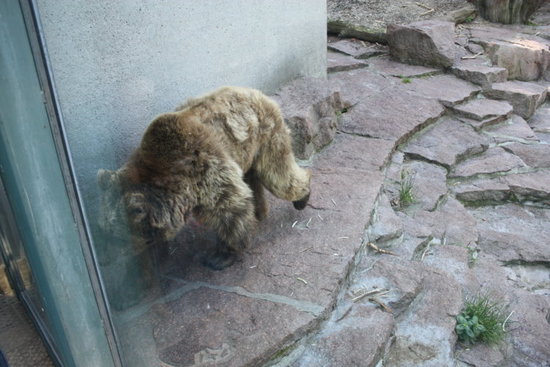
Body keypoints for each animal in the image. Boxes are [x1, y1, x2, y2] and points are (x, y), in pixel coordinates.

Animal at [99, 86, 312, 270]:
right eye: (103, 230)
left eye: (115, 236)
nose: (103, 261)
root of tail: (254, 91)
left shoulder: (205, 169)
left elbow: (230, 210)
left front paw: (221, 255)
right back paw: (260, 212)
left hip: (265, 134)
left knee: (277, 174)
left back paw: (302, 197)